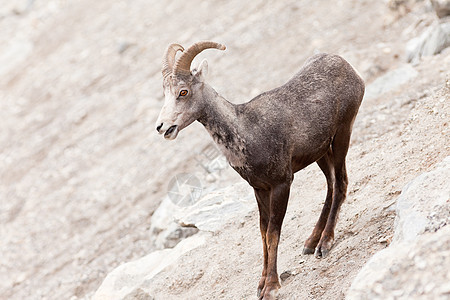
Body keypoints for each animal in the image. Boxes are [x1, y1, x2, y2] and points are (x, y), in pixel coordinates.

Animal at [156, 41, 364, 298]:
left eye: (183, 92)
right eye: (165, 93)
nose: (162, 127)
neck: (247, 131)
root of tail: (346, 66)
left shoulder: (282, 184)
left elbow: (273, 233)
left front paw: (271, 287)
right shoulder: (260, 189)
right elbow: (263, 234)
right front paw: (261, 284)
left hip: (342, 135)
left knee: (341, 183)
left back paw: (324, 244)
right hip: (321, 153)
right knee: (332, 184)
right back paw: (311, 242)